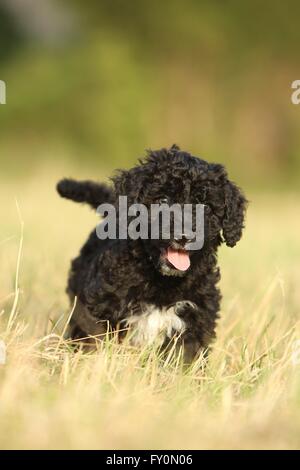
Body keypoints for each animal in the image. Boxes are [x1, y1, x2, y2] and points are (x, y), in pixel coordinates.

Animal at [56, 145, 246, 362]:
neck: (163, 280)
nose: (185, 236)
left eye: (205, 206)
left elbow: (184, 358)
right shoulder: (99, 307)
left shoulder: (195, 321)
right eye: (163, 200)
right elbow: (93, 341)